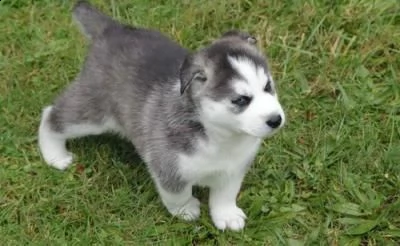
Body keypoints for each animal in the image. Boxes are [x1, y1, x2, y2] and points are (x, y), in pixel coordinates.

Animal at [38, 0, 284, 231]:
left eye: (268, 86)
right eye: (241, 100)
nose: (276, 120)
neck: (220, 136)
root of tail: (112, 29)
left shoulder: (234, 168)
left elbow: (226, 193)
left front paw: (227, 215)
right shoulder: (168, 167)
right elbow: (177, 193)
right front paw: (186, 209)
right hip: (94, 112)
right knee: (51, 115)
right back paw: (55, 156)